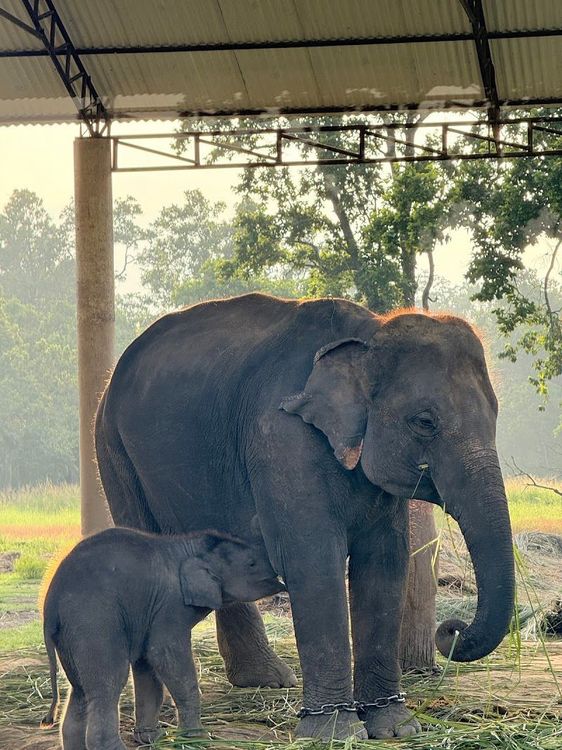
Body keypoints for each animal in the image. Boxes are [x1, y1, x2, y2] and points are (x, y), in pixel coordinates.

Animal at [41, 527, 283, 749]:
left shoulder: (148, 613)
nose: (282, 580)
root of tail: (50, 603)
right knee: (108, 684)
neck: (189, 547)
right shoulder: (169, 606)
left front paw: (153, 739)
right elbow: (165, 656)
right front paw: (198, 739)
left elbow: (147, 666)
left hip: (69, 634)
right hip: (94, 622)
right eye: (251, 564)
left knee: (80, 689)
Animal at [95, 293, 515, 740]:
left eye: (496, 416)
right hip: (113, 449)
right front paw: (336, 732)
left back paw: (266, 680)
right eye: (424, 422)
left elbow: (384, 563)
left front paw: (394, 728)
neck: (369, 333)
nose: (452, 628)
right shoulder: (281, 438)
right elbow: (313, 561)